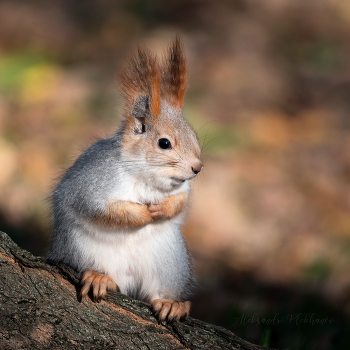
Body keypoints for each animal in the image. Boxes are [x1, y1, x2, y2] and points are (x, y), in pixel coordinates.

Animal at [47, 37, 204, 322]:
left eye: (194, 136)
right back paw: (99, 277)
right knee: (108, 277)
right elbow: (101, 209)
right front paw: (142, 214)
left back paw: (171, 303)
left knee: (156, 292)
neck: (145, 177)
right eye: (164, 143)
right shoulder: (92, 184)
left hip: (169, 262)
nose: (197, 168)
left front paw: (164, 208)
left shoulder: (182, 188)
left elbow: (181, 200)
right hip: (81, 249)